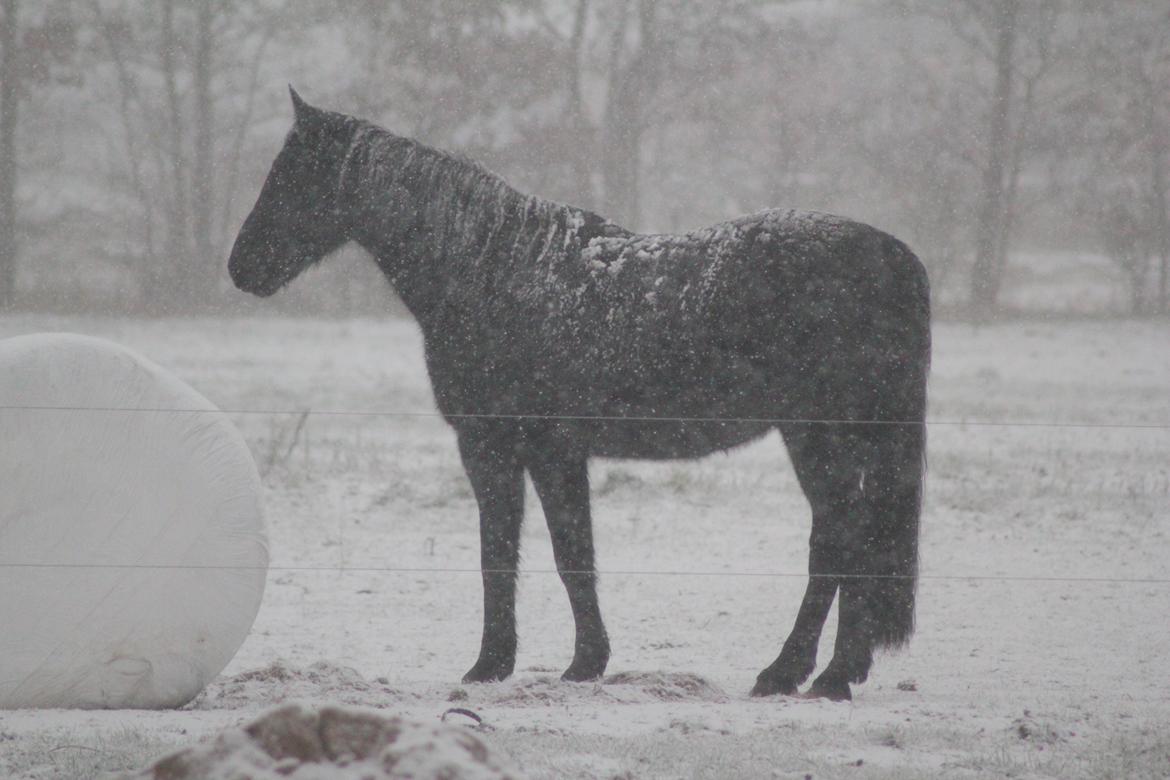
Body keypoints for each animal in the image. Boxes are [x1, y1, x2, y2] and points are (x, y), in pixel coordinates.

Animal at [228, 90, 926, 701]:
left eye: (293, 176)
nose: (240, 267)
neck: (498, 270)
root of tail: (892, 255)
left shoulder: (501, 446)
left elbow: (516, 553)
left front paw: (506, 665)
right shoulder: (548, 453)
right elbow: (561, 553)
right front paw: (570, 663)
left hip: (819, 436)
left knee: (839, 541)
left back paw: (808, 675)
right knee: (848, 540)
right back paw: (830, 671)